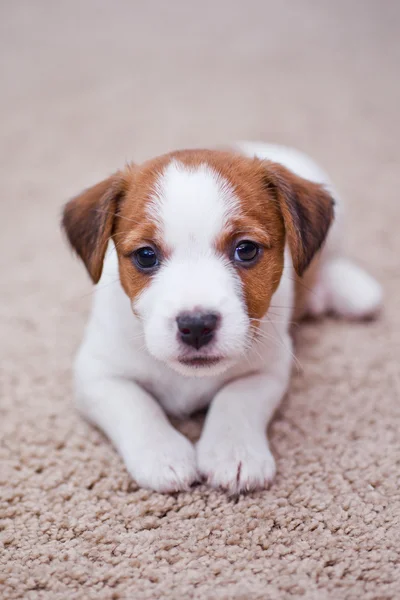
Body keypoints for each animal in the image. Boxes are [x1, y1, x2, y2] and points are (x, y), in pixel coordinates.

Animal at [61, 141, 382, 492]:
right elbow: (136, 404)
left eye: (246, 249)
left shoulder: (268, 370)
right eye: (146, 256)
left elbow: (235, 398)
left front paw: (235, 453)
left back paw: (351, 289)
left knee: (332, 258)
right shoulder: (96, 373)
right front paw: (162, 453)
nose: (196, 326)